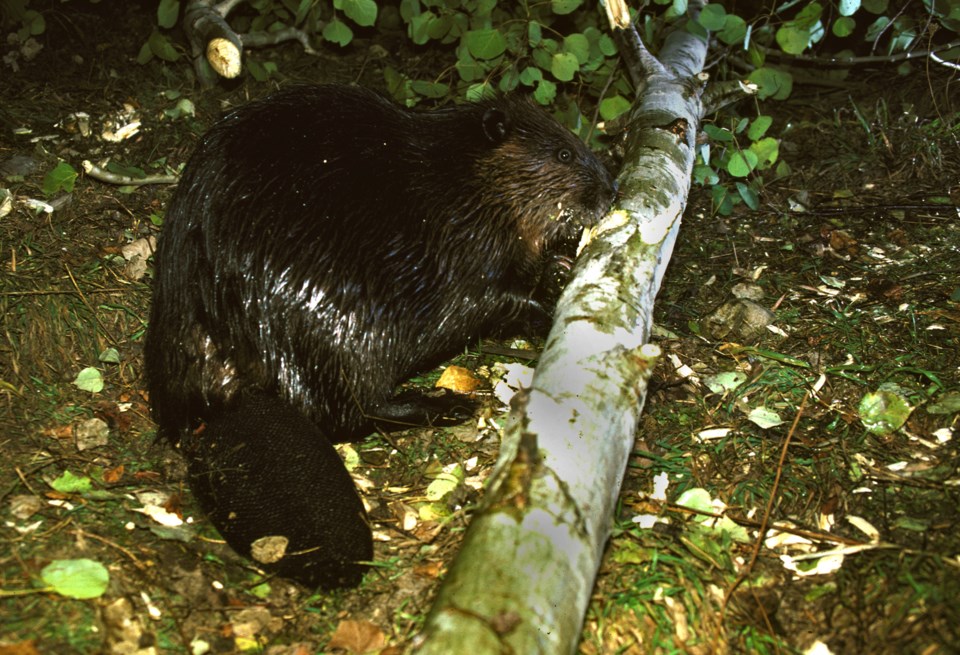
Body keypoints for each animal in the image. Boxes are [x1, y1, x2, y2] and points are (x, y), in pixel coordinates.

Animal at [146, 83, 620, 588]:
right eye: (563, 152)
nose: (611, 191)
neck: (462, 182)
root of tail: (214, 406)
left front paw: (560, 266)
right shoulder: (462, 249)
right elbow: (493, 300)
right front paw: (549, 303)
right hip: (347, 336)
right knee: (349, 411)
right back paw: (447, 405)